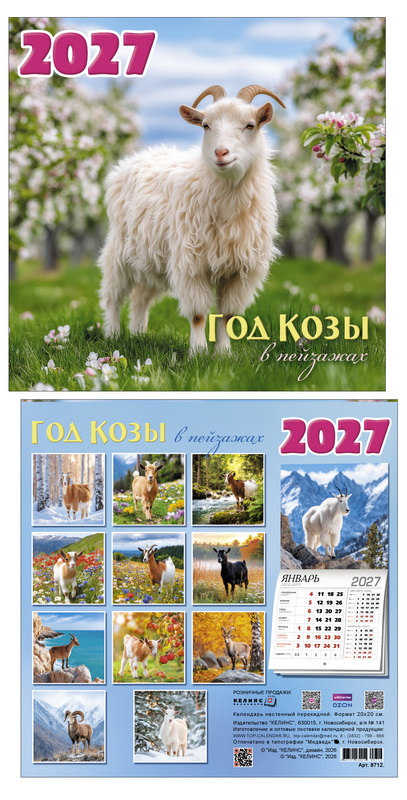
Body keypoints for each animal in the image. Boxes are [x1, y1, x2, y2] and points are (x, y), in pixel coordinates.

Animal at [99, 84, 285, 353]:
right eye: (206, 126)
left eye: (250, 125)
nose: (221, 152)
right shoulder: (191, 264)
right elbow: (197, 314)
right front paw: (198, 352)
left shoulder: (241, 270)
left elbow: (227, 315)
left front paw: (224, 353)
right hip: (120, 253)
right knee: (113, 296)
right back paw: (112, 334)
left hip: (151, 260)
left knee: (140, 298)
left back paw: (138, 334)